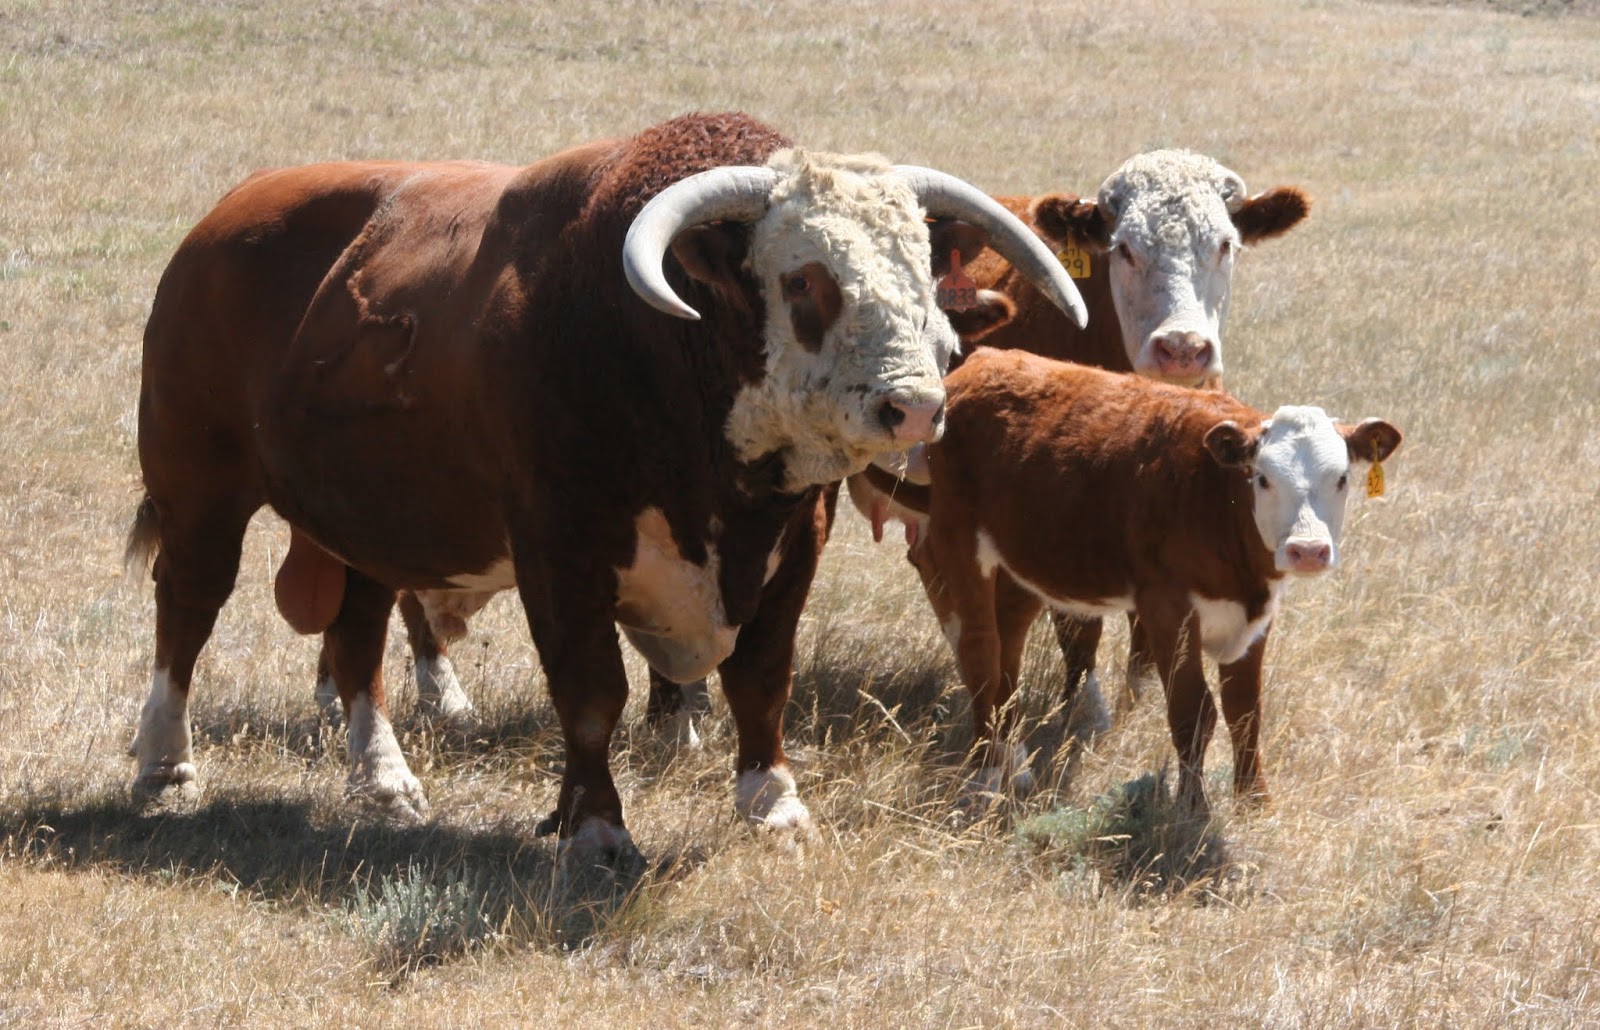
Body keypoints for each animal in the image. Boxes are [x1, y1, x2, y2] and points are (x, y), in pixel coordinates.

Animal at [123, 112, 1088, 854]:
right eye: (804, 279)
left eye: (923, 270)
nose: (913, 405)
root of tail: (222, 223)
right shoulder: (561, 549)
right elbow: (591, 694)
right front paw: (595, 827)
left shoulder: (794, 543)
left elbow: (760, 679)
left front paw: (773, 806)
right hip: (198, 488)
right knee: (188, 609)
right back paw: (164, 763)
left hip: (363, 522)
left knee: (357, 635)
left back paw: (383, 780)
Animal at [849, 150, 1311, 726]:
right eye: (1125, 249)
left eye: (1225, 244)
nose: (1182, 349)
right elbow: (1075, 622)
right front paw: (1087, 708)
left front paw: (1138, 702)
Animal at [861, 348, 1401, 814]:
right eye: (1264, 478)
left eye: (1341, 479)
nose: (1308, 551)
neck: (1217, 497)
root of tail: (982, 363)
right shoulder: (1167, 608)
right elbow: (1193, 711)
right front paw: (1191, 809)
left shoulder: (1256, 616)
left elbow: (1245, 710)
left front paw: (1254, 803)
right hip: (958, 538)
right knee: (980, 651)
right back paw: (985, 774)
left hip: (1021, 562)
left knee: (1007, 650)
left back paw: (1014, 763)